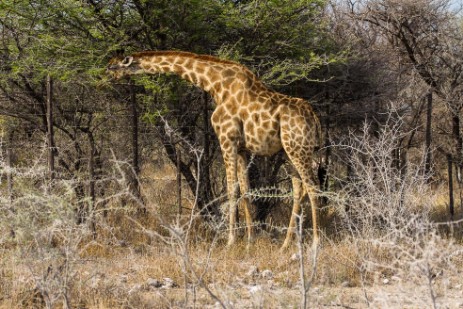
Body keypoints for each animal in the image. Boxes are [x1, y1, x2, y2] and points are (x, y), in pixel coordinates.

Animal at [107, 50, 322, 248]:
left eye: (113, 66)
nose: (108, 77)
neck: (216, 85)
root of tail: (314, 117)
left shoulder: (227, 139)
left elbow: (232, 188)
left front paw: (230, 241)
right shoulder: (242, 148)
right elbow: (245, 189)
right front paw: (250, 240)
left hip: (298, 148)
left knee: (313, 186)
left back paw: (315, 243)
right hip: (288, 151)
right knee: (298, 189)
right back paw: (286, 245)